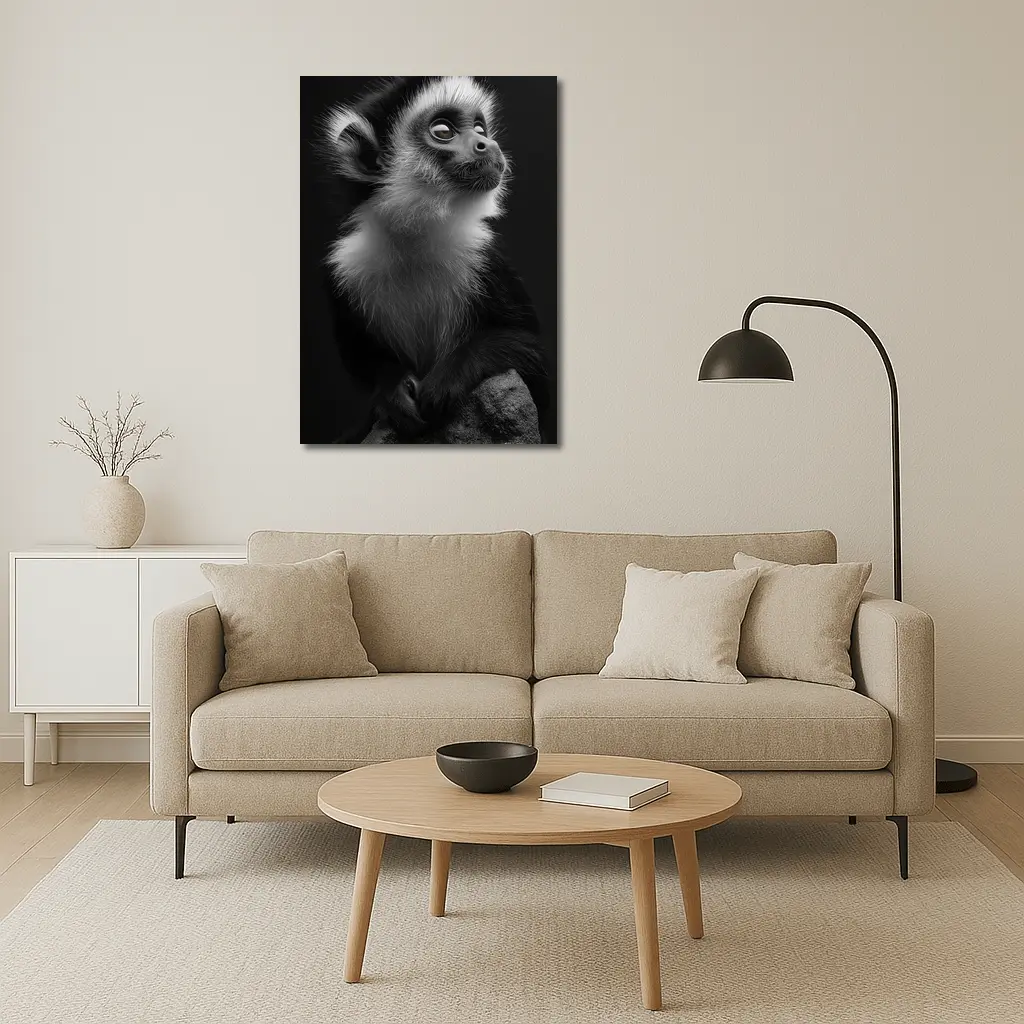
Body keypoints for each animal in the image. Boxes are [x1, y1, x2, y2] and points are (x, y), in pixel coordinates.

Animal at [319, 76, 548, 442]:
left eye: (480, 128)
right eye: (443, 131)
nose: (487, 143)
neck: (414, 237)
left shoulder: (484, 257)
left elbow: (535, 359)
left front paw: (451, 374)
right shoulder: (344, 268)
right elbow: (363, 363)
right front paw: (392, 388)